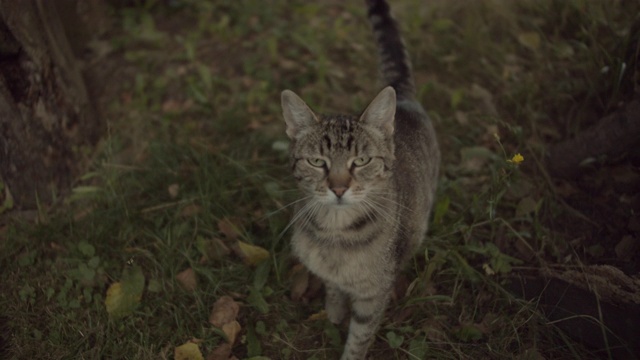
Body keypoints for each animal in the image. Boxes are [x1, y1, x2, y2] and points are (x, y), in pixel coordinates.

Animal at [280, 1, 440, 358]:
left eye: (362, 161)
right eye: (318, 162)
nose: (339, 188)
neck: (335, 232)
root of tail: (403, 97)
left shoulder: (373, 295)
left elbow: (359, 338)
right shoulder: (329, 273)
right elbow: (333, 289)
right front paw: (334, 311)